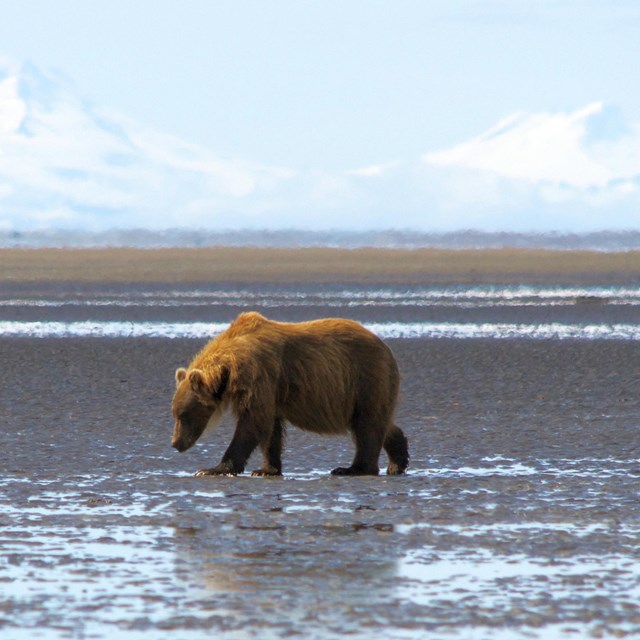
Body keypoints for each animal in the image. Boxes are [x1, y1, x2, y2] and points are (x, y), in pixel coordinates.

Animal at [171, 310, 410, 476]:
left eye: (183, 415)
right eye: (175, 414)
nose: (175, 443)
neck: (229, 369)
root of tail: (385, 346)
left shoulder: (258, 374)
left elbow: (253, 422)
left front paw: (213, 469)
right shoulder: (270, 390)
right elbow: (270, 429)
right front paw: (266, 469)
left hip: (366, 378)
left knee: (367, 425)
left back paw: (352, 468)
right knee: (380, 423)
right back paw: (398, 461)